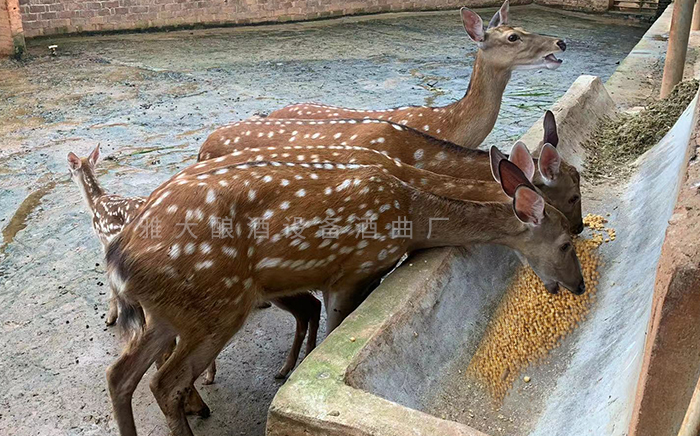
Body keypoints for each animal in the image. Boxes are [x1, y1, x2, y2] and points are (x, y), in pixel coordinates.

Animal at [105, 142, 584, 432]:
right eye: (564, 241)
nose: (578, 286)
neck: (411, 213)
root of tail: (119, 257)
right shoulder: (351, 270)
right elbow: (334, 332)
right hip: (216, 305)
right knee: (164, 381)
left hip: (170, 313)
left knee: (121, 375)